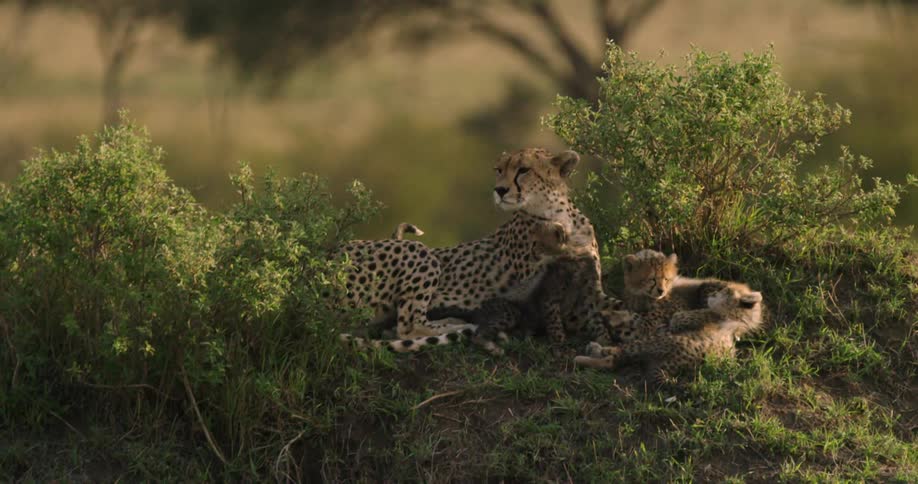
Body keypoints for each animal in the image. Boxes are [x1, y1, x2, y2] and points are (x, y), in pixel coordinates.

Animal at [337, 147, 596, 352]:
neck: (555, 213)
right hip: (417, 251)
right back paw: (459, 325)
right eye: (498, 170)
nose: (499, 190)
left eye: (524, 170)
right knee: (409, 326)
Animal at [574, 281, 765, 383]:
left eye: (724, 292)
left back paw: (589, 352)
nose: (712, 294)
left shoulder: (664, 327)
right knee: (615, 361)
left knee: (614, 356)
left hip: (652, 343)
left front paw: (609, 315)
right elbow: (634, 318)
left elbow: (641, 320)